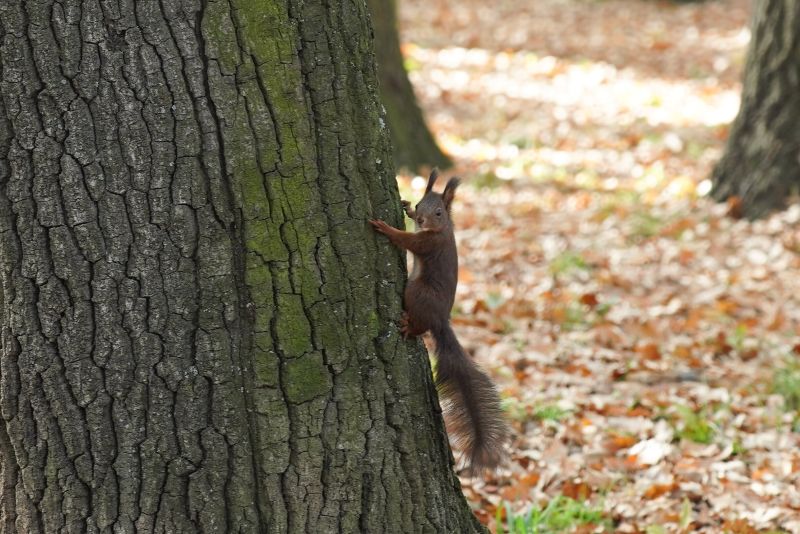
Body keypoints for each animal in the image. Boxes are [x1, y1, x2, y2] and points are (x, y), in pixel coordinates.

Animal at [370, 169, 506, 474]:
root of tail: (441, 321)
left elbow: (408, 240)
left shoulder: (428, 243)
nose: (420, 219)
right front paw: (405, 206)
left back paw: (409, 327)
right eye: (422, 205)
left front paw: (386, 227)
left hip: (416, 291)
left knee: (420, 323)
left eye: (439, 212)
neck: (442, 229)